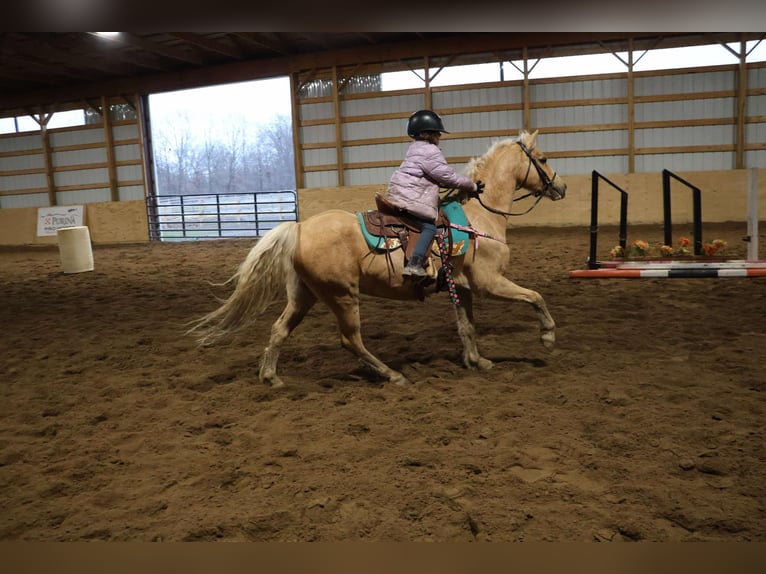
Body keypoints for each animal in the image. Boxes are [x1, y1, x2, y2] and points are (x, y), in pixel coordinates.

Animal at [189, 132, 568, 388]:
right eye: (543, 158)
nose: (561, 187)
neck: (478, 217)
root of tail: (300, 228)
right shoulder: (489, 282)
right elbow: (536, 296)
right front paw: (548, 337)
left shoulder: (462, 288)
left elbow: (467, 327)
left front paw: (477, 360)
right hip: (342, 295)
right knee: (350, 339)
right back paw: (391, 374)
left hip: (305, 294)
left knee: (279, 328)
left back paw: (271, 377)